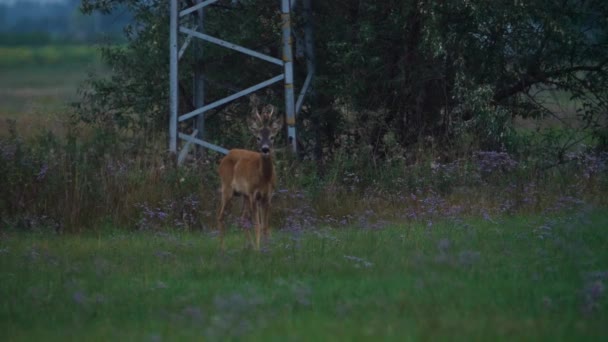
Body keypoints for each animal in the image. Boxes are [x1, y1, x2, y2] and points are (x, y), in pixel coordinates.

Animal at [217, 99, 284, 251]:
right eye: (258, 138)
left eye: (272, 137)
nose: (265, 149)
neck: (264, 177)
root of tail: (226, 156)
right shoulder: (254, 193)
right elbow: (257, 225)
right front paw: (259, 250)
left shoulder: (268, 196)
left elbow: (265, 226)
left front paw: (266, 249)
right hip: (227, 189)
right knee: (221, 216)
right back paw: (222, 249)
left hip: (244, 195)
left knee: (242, 218)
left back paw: (249, 246)